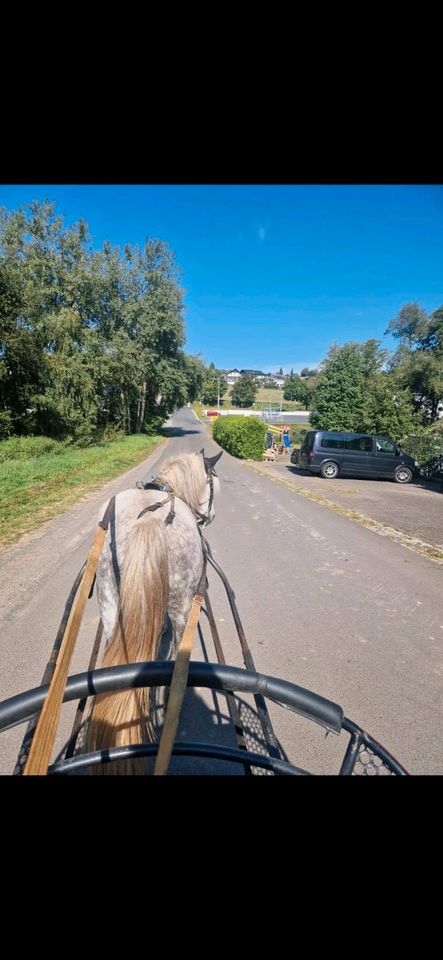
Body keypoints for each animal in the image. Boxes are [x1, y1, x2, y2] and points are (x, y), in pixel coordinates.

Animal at [87, 450, 222, 772]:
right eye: (213, 487)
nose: (210, 517)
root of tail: (148, 521)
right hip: (182, 606)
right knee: (175, 655)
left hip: (109, 601)